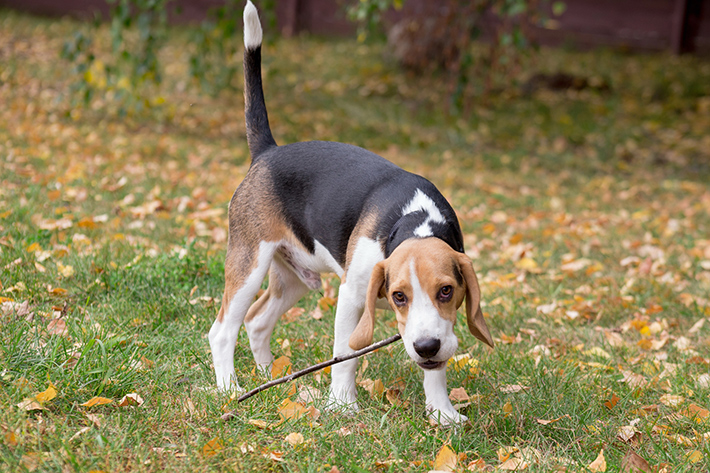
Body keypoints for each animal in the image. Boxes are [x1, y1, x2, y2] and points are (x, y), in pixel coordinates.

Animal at [209, 0, 492, 426]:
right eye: (398, 296)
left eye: (447, 290)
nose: (425, 346)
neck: (413, 222)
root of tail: (268, 152)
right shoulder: (352, 294)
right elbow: (346, 354)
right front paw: (342, 404)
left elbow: (436, 369)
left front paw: (442, 412)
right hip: (249, 263)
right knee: (223, 329)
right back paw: (230, 387)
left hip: (293, 276)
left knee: (257, 322)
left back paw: (271, 378)